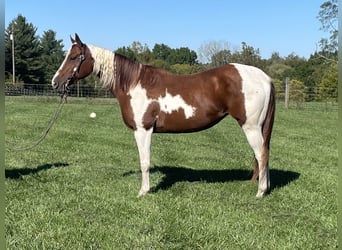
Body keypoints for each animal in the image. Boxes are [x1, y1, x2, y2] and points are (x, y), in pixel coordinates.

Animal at [51, 33, 276, 197]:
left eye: (73, 57)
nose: (55, 82)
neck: (134, 84)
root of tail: (265, 78)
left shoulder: (143, 130)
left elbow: (144, 162)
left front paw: (143, 191)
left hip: (251, 126)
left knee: (261, 154)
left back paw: (260, 192)